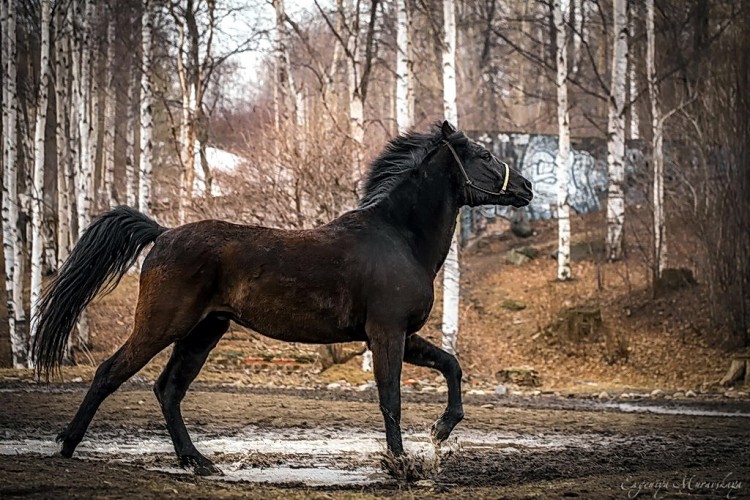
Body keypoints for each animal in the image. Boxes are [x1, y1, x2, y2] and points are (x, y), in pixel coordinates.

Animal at [32, 122, 532, 476]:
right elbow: (391, 398)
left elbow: (451, 365)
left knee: (168, 389)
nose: (526, 188)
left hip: (203, 332)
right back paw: (68, 445)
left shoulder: (402, 335)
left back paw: (198, 462)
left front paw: (441, 430)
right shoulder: (386, 334)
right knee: (110, 373)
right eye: (485, 154)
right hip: (162, 324)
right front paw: (401, 465)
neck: (398, 237)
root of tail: (163, 232)